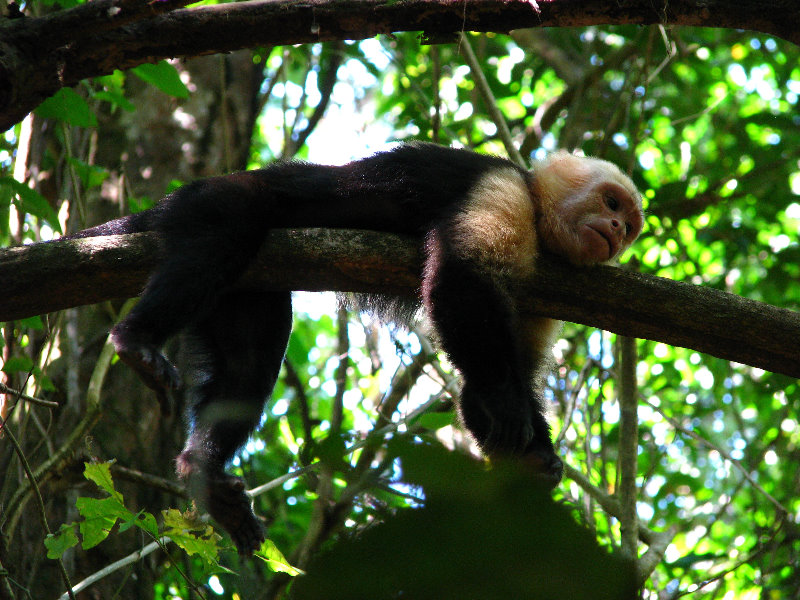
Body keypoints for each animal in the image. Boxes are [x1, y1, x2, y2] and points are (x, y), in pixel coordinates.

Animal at [69, 143, 644, 556]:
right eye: (611, 203)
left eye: (629, 225)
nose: (618, 231)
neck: (540, 220)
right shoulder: (503, 191)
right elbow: (462, 279)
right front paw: (508, 408)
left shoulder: (547, 287)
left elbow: (480, 389)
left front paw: (533, 457)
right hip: (213, 200)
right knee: (226, 230)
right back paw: (136, 340)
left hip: (249, 286)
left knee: (249, 363)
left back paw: (200, 469)